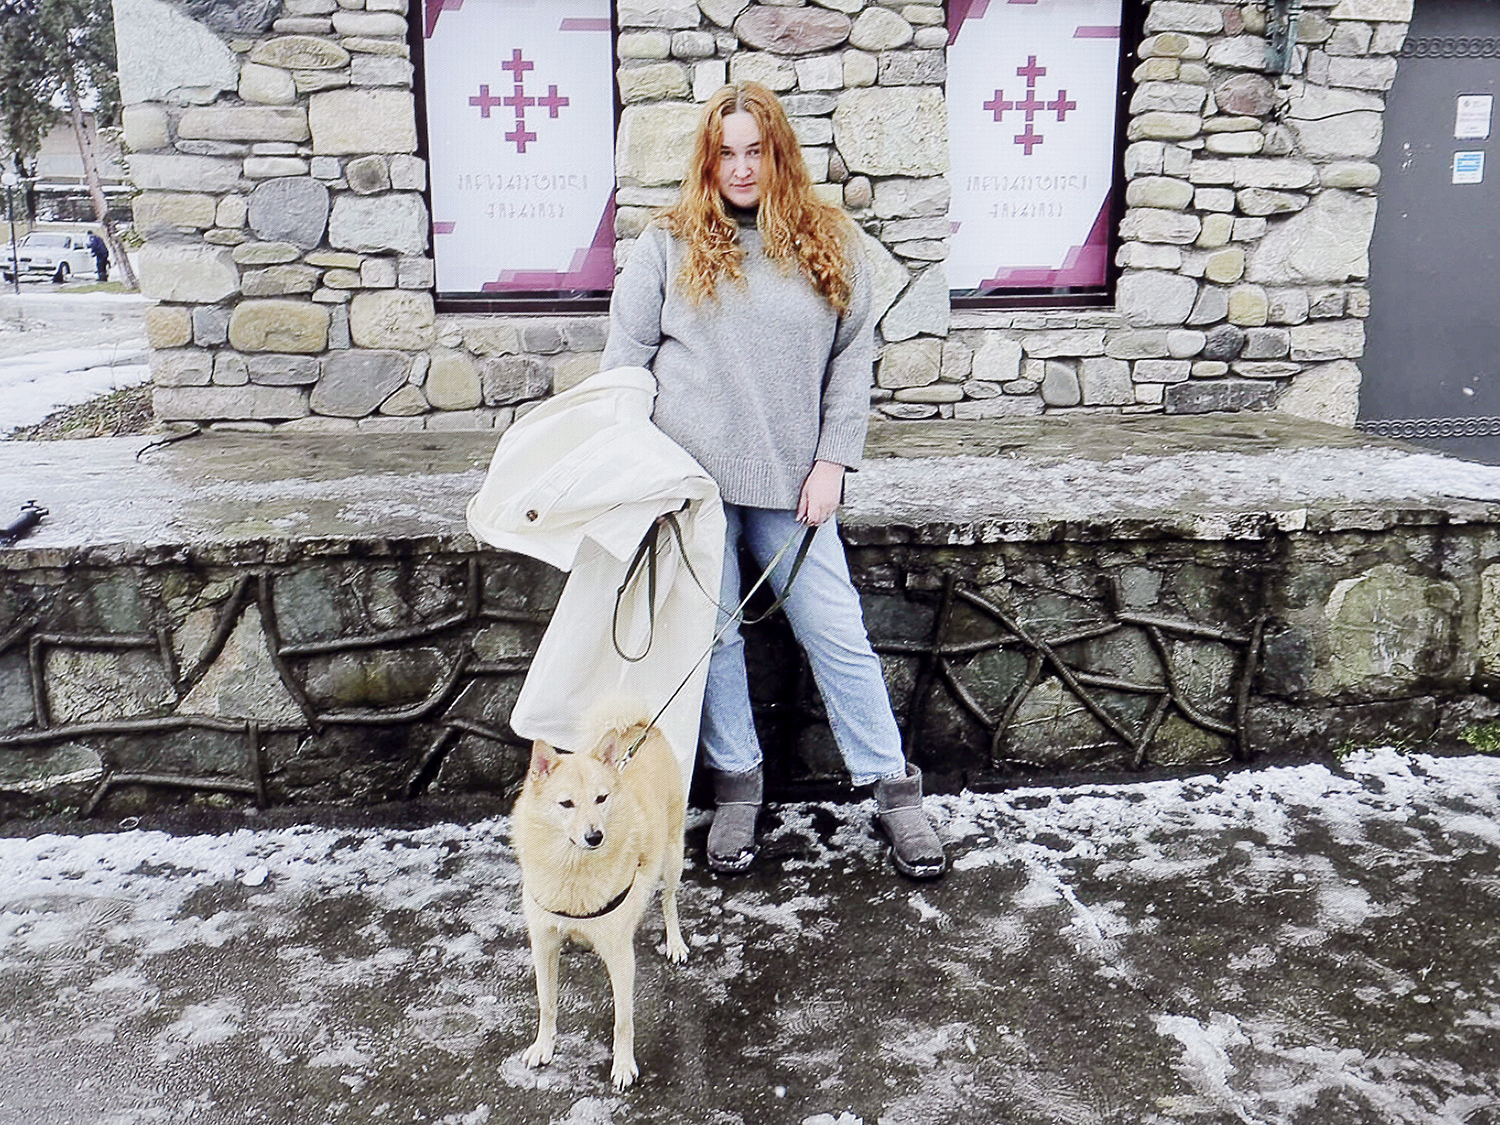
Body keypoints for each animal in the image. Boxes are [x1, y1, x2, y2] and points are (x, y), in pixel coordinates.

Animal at [511, 713, 688, 1090]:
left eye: (601, 798)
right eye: (566, 804)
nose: (595, 836)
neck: (573, 868)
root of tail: (640, 727)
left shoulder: (621, 956)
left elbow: (623, 1020)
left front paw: (623, 1065)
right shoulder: (543, 944)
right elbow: (546, 1002)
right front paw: (543, 1046)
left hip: (672, 859)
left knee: (669, 901)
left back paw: (675, 943)